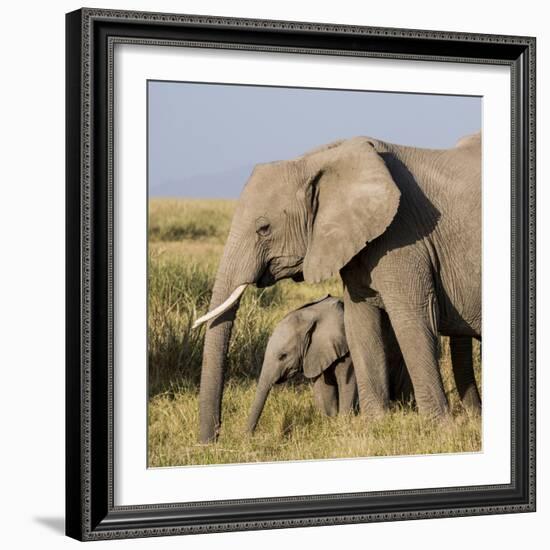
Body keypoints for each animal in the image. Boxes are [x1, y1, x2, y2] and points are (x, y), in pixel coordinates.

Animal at [248, 296, 360, 434]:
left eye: (283, 356)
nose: (247, 436)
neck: (313, 314)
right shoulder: (315, 352)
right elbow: (323, 386)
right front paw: (330, 422)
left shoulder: (347, 349)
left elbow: (347, 383)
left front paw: (343, 423)